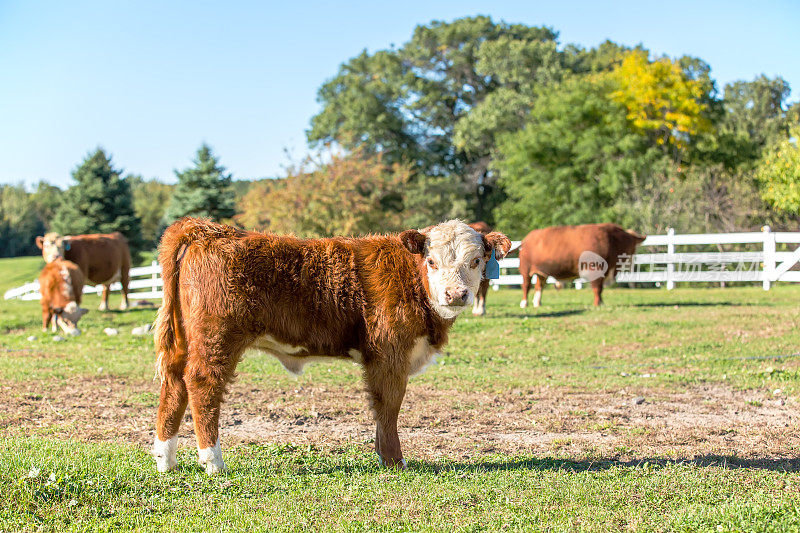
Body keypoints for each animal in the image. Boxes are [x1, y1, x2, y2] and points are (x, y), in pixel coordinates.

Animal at [151, 218, 512, 472]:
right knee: (202, 384)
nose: (455, 294)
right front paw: (394, 461)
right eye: (432, 261)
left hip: (184, 339)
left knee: (174, 384)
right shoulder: (389, 354)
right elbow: (389, 405)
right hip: (217, 338)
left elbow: (382, 409)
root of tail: (206, 230)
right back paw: (213, 462)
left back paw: (165, 459)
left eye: (477, 261)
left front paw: (383, 456)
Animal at [516, 223, 648, 308]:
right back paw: (524, 303)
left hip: (541, 272)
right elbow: (597, 288)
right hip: (525, 270)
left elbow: (600, 288)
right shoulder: (595, 269)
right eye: (627, 244)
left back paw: (537, 303)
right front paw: (597, 304)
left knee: (539, 286)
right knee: (526, 286)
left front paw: (601, 302)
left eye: (632, 245)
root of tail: (527, 239)